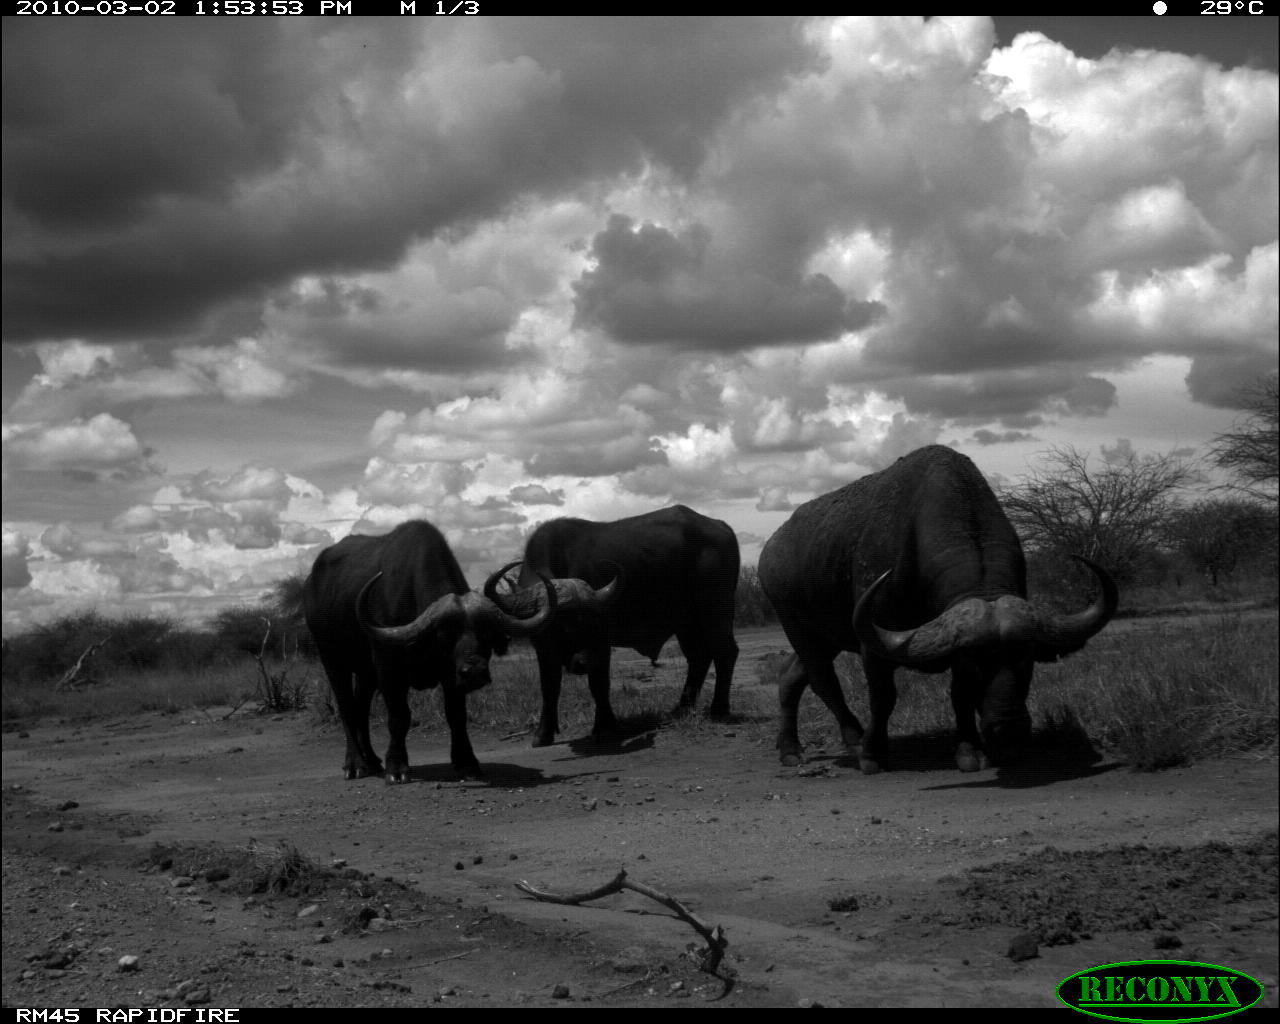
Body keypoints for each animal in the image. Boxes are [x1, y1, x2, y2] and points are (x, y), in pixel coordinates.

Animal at [305, 524, 560, 778]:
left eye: (486, 634)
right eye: (445, 636)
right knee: (347, 708)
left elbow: (456, 715)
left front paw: (467, 762)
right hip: (331, 660)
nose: (475, 671)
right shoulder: (388, 668)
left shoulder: (451, 675)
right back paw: (355, 764)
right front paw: (396, 766)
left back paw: (372, 761)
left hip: (366, 673)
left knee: (361, 708)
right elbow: (399, 716)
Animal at [491, 506, 747, 747]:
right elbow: (549, 688)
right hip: (686, 623)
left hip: (715, 610)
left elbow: (599, 684)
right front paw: (543, 734)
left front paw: (604, 727)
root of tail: (720, 526)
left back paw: (718, 709)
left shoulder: (601, 644)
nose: (585, 661)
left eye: (592, 622)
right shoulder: (543, 648)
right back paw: (681, 708)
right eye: (561, 626)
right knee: (699, 658)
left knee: (725, 652)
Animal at [752, 442, 1116, 773]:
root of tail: (768, 552)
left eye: (1026, 661)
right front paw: (872, 753)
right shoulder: (875, 644)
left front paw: (970, 751)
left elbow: (959, 697)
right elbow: (883, 697)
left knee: (791, 675)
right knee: (824, 681)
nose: (1009, 729)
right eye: (977, 665)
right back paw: (852, 741)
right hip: (799, 629)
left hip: (826, 636)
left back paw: (790, 748)